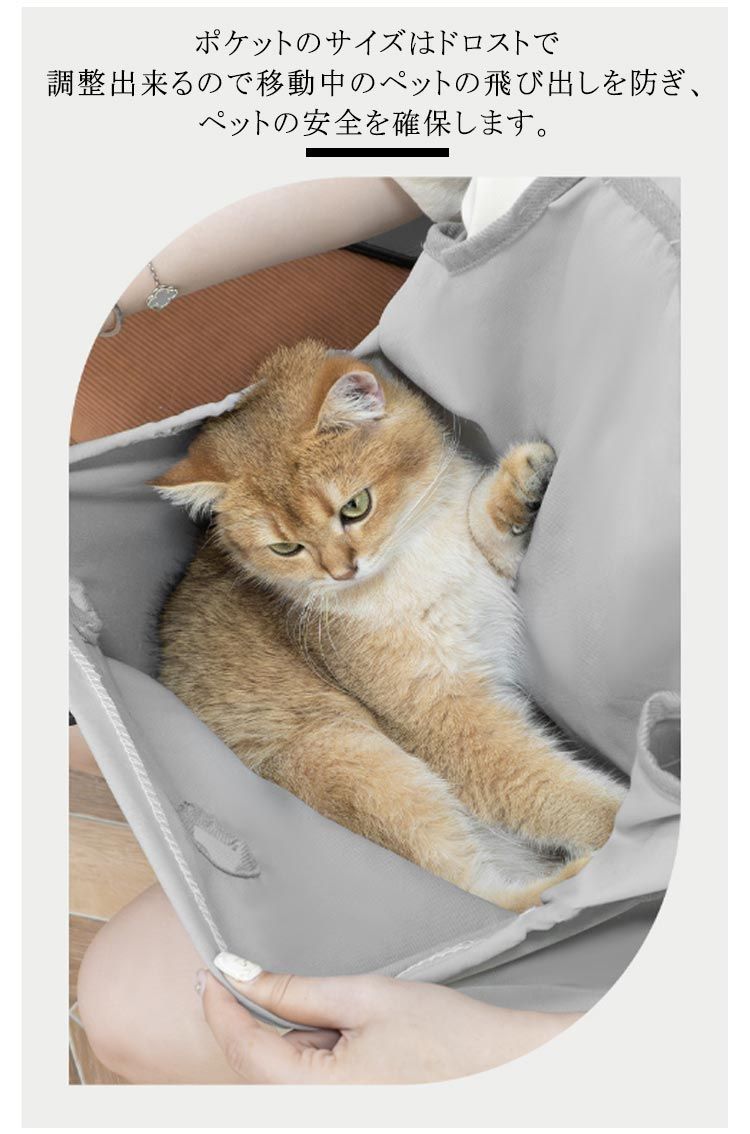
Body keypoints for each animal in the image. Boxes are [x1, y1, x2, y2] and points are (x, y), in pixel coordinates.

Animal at [151, 340, 625, 912]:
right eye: (286, 548)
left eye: (355, 506)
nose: (341, 572)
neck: (409, 558)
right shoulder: (446, 717)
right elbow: (549, 790)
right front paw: (631, 819)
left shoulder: (487, 568)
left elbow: (482, 523)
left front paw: (523, 480)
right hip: (352, 753)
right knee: (485, 891)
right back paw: (580, 880)